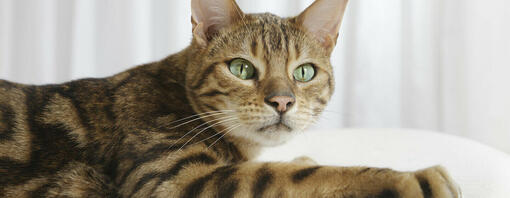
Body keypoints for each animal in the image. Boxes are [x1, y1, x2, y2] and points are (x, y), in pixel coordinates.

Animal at [0, 0, 462, 197]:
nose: (282, 102)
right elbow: (295, 176)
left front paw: (301, 154)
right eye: (241, 68)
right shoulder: (173, 178)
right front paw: (411, 178)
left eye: (304, 72)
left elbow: (289, 165)